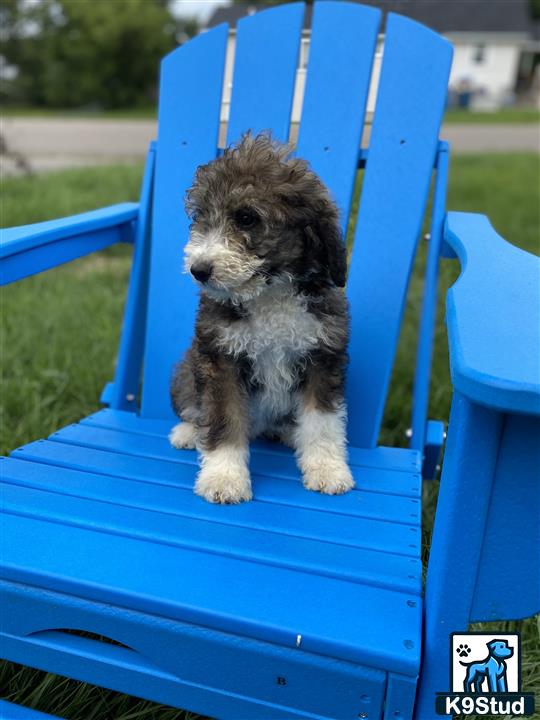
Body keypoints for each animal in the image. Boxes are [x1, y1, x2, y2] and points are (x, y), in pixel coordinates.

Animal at [170, 132, 354, 504]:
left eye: (246, 218)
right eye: (201, 215)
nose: (199, 270)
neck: (270, 293)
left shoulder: (323, 356)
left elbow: (323, 421)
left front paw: (327, 469)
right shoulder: (221, 359)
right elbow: (223, 419)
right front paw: (224, 478)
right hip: (185, 370)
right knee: (194, 407)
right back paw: (188, 432)